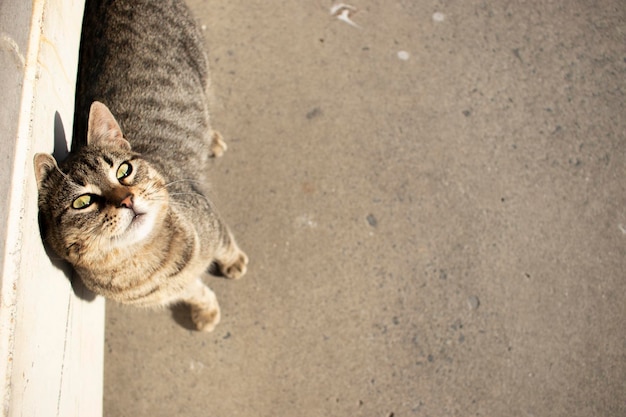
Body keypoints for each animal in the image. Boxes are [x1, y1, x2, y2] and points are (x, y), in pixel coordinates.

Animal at [32, 0, 246, 332]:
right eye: (83, 201)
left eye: (124, 171)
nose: (127, 199)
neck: (147, 263)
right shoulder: (172, 289)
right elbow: (194, 290)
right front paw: (205, 310)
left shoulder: (209, 216)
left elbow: (225, 244)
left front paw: (233, 261)